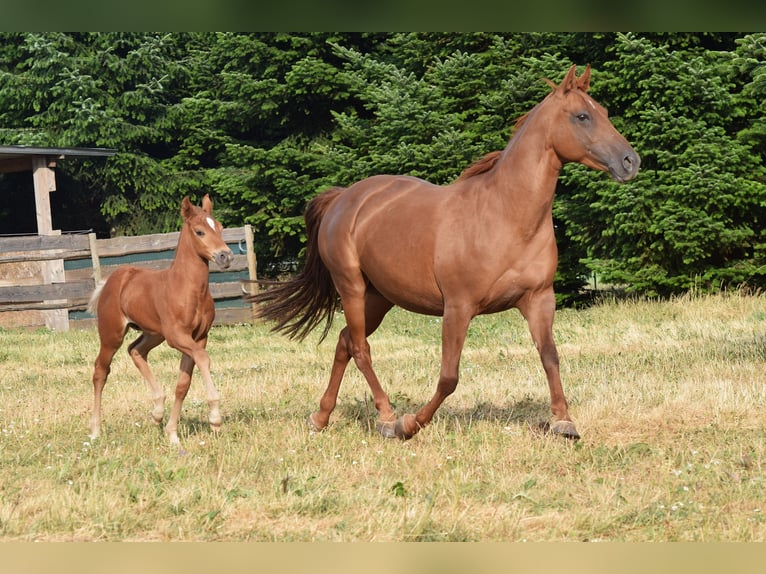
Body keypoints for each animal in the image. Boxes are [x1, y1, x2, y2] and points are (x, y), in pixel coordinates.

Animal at [88, 194, 234, 445]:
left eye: (220, 228)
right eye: (199, 232)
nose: (225, 256)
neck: (187, 288)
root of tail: (113, 279)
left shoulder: (198, 337)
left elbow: (183, 384)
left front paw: (172, 432)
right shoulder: (177, 337)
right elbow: (203, 359)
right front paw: (215, 418)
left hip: (153, 334)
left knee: (135, 350)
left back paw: (157, 412)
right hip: (111, 335)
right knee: (101, 371)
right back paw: (96, 430)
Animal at [247, 64, 640, 441]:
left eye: (604, 112)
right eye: (582, 116)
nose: (630, 161)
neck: (506, 214)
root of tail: (343, 198)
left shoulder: (539, 299)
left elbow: (550, 357)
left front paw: (564, 422)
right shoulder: (458, 307)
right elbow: (449, 377)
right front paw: (410, 425)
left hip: (379, 297)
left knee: (345, 342)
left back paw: (321, 417)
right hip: (352, 288)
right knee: (360, 348)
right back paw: (387, 418)